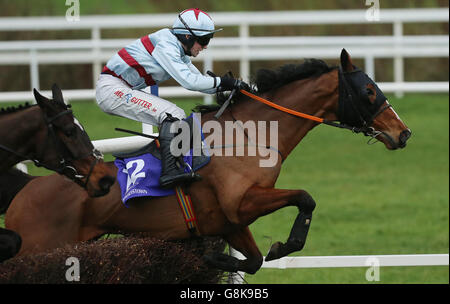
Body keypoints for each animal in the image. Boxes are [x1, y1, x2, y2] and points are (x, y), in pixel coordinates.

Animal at [5, 49, 412, 274]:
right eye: (369, 90)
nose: (403, 132)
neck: (250, 134)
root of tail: (24, 192)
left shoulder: (229, 220)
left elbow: (254, 260)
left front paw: (218, 260)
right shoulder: (241, 202)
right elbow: (305, 198)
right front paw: (285, 244)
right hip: (39, 248)